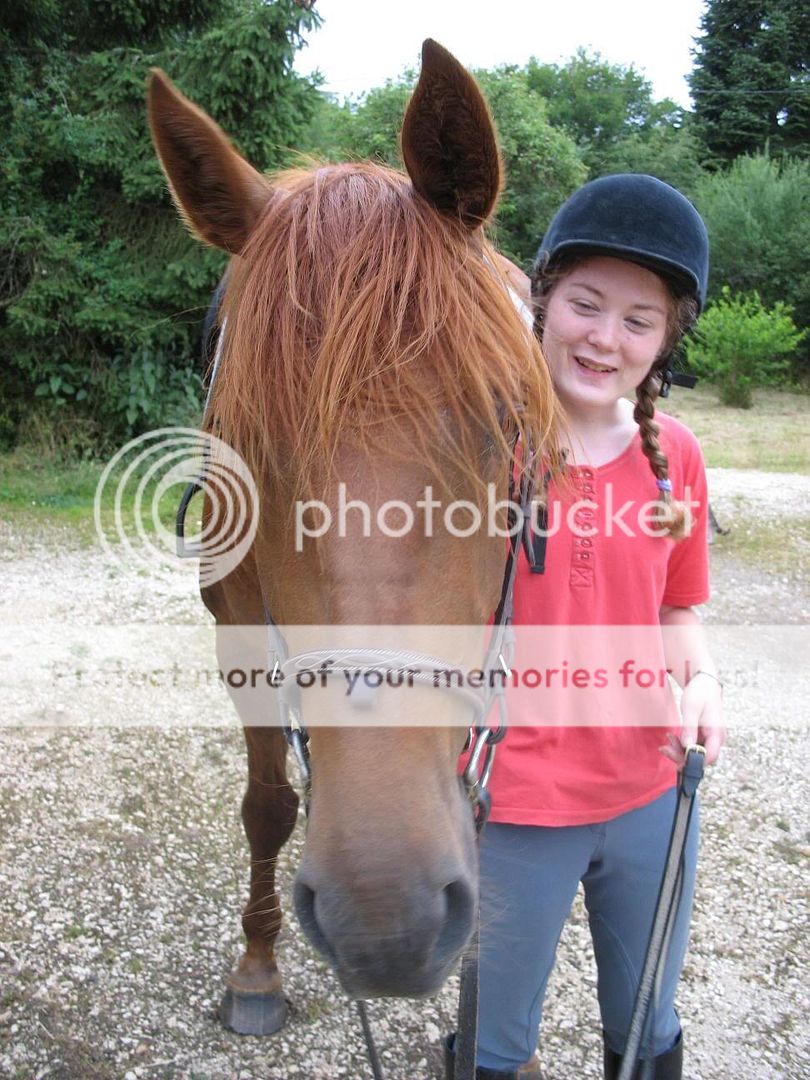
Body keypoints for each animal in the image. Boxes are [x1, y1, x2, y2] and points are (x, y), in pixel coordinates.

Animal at [147, 39, 557, 1036]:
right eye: (244, 438)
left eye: (503, 416)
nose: (387, 919)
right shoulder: (239, 633)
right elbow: (267, 803)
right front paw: (257, 972)